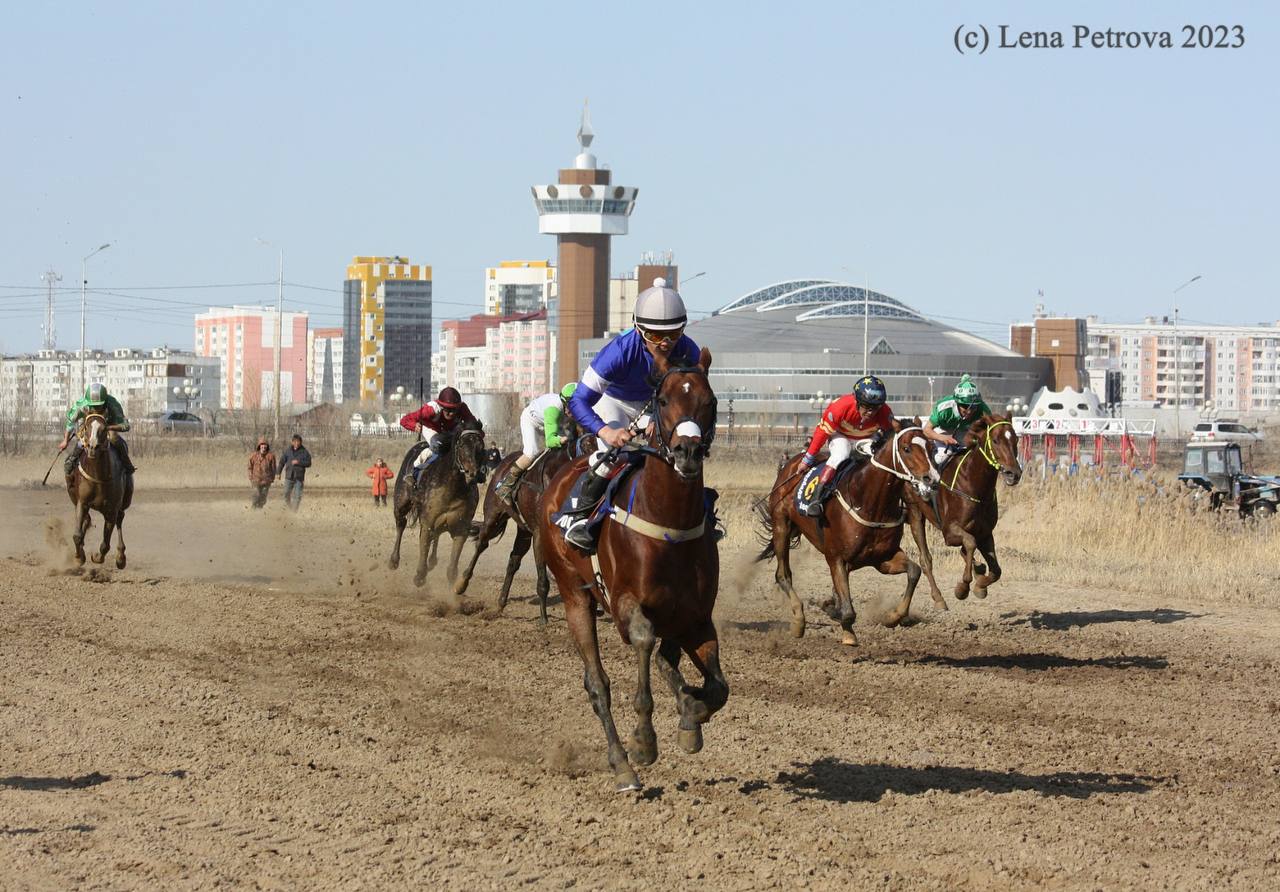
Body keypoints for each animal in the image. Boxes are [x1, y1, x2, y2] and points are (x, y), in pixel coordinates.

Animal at [66, 412, 133, 568]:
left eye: (104, 429)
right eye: (86, 426)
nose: (92, 447)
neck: (99, 477)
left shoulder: (112, 510)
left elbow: (105, 545)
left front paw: (97, 557)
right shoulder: (82, 502)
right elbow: (77, 535)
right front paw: (79, 557)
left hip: (123, 502)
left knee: (120, 519)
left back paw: (121, 557)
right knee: (87, 520)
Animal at [386, 419, 486, 588]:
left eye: (481, 446)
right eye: (462, 445)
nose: (473, 474)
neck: (453, 487)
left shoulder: (461, 527)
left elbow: (452, 565)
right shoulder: (428, 521)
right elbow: (424, 543)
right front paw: (420, 575)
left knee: (436, 535)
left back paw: (432, 561)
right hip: (401, 501)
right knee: (401, 523)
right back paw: (394, 560)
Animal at [535, 345, 727, 788]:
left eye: (709, 402)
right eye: (663, 400)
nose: (688, 452)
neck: (669, 523)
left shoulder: (697, 616)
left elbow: (716, 688)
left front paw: (691, 715)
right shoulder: (625, 605)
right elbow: (643, 641)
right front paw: (644, 739)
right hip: (574, 596)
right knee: (597, 684)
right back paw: (622, 763)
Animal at [747, 427, 942, 642]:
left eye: (932, 448)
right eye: (906, 449)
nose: (932, 479)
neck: (869, 503)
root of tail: (791, 464)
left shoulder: (882, 558)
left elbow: (914, 571)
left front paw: (894, 617)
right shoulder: (836, 558)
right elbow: (848, 611)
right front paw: (847, 632)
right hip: (781, 525)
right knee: (783, 574)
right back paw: (799, 620)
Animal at [906, 417, 1024, 606]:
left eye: (1016, 440)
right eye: (995, 440)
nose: (1013, 473)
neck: (974, 484)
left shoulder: (985, 532)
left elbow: (996, 570)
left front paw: (981, 584)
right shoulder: (949, 532)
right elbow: (969, 542)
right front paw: (963, 587)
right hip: (915, 513)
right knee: (925, 559)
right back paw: (938, 597)